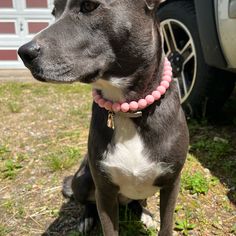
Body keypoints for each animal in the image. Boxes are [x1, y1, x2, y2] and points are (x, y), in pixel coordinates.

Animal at [18, 0, 189, 235]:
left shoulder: (172, 184)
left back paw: (144, 214)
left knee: (138, 202)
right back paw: (86, 219)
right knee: (87, 202)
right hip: (82, 180)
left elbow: (167, 224)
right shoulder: (105, 191)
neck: (129, 111)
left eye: (90, 6)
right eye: (54, 11)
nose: (23, 52)